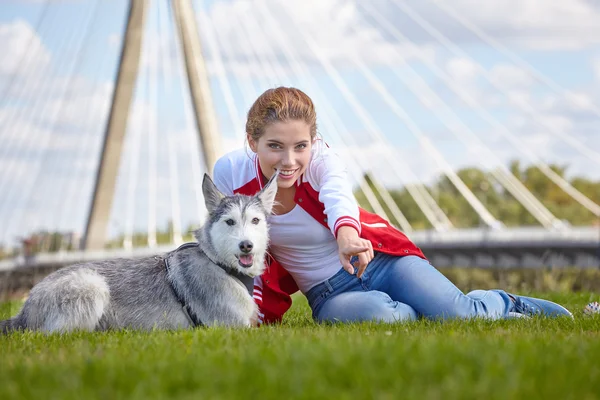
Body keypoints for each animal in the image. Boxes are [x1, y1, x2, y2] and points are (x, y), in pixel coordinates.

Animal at [0, 172, 276, 332]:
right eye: (229, 222)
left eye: (255, 221)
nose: (246, 245)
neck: (217, 261)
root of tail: (24, 312)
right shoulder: (233, 327)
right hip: (91, 286)